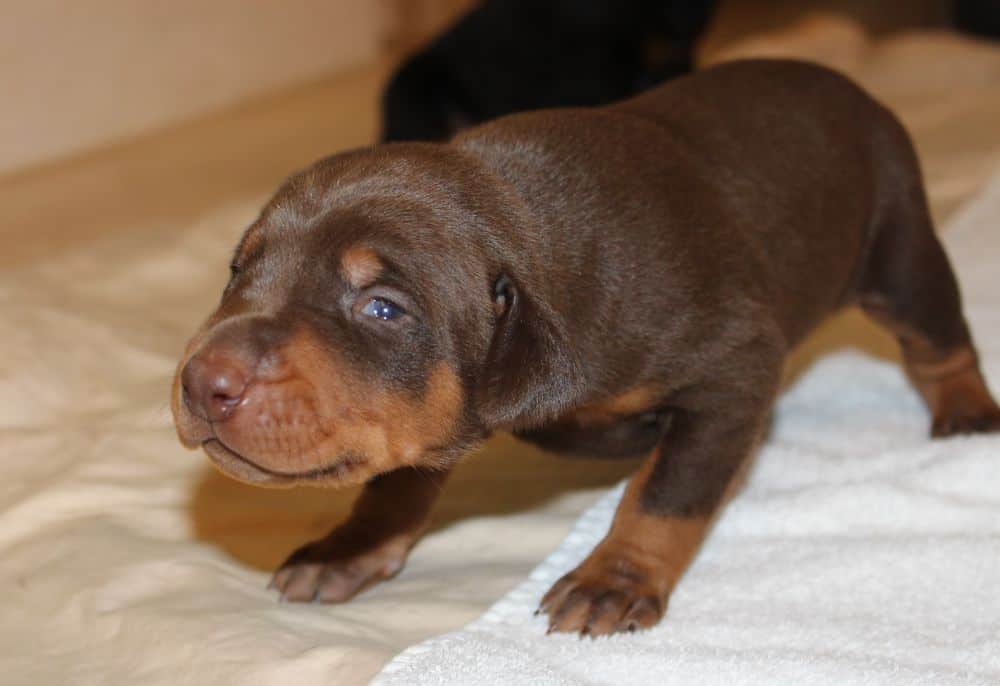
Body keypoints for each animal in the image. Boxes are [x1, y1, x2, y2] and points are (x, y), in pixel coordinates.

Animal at [172, 60, 1000, 640]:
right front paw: (348, 547)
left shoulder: (731, 371)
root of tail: (845, 84)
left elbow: (665, 493)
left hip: (898, 244)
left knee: (938, 338)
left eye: (382, 308)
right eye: (239, 270)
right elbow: (397, 481)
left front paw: (616, 578)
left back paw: (965, 410)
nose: (203, 382)